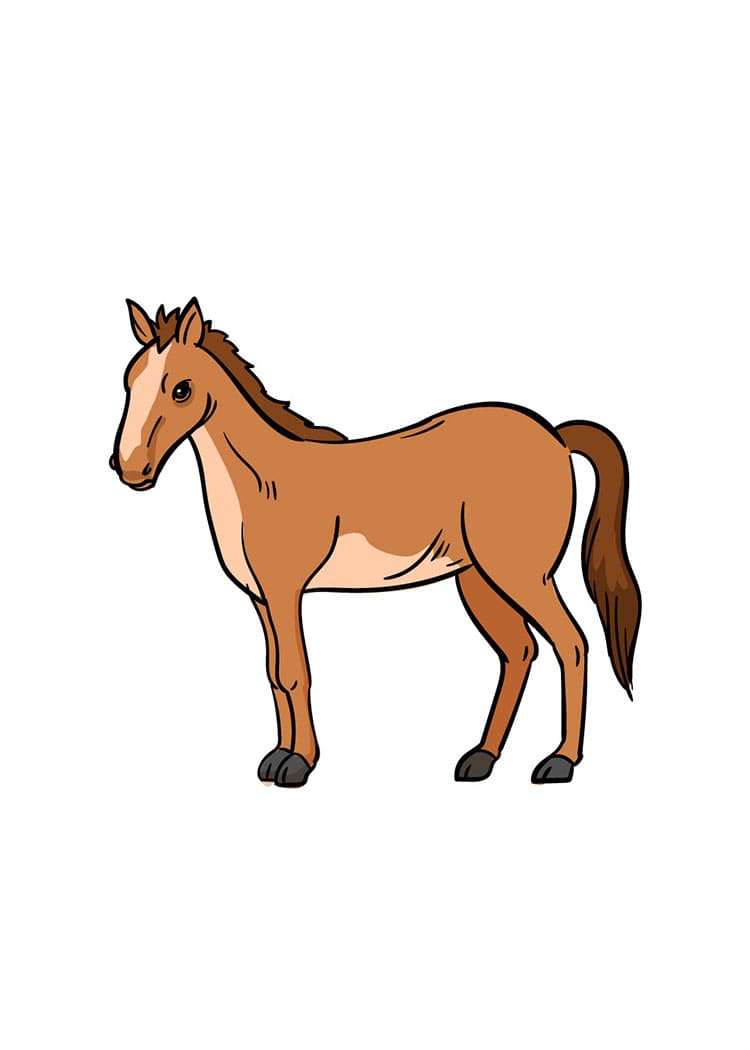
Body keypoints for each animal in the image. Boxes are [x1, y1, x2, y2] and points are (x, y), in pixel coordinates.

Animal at [111, 297, 641, 788]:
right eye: (128, 381)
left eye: (181, 389)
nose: (130, 469)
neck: (263, 483)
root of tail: (556, 435)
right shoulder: (261, 599)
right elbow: (274, 674)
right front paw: (277, 757)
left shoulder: (285, 592)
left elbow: (296, 672)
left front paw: (298, 764)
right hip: (477, 580)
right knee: (519, 652)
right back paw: (481, 759)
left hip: (522, 574)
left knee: (571, 644)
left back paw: (560, 762)